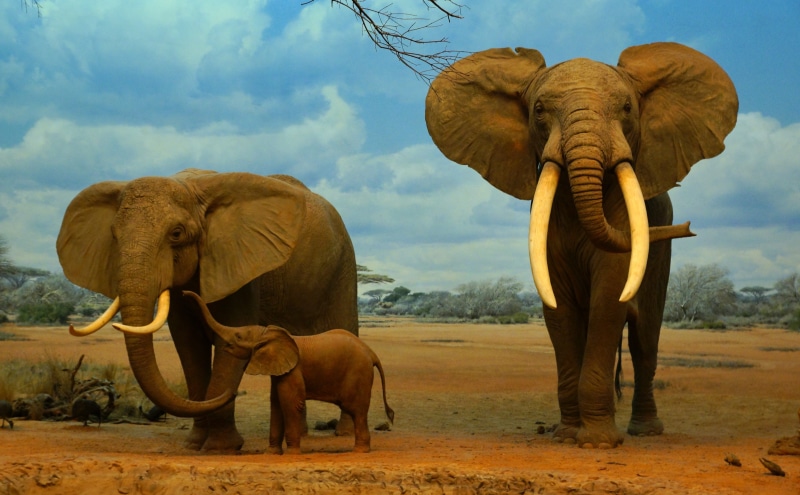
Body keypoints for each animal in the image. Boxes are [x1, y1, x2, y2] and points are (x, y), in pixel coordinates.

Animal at [56, 169, 358, 450]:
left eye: (176, 234)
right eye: (113, 236)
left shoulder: (240, 266)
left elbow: (230, 339)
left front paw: (221, 447)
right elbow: (189, 346)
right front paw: (194, 444)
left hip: (344, 264)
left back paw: (344, 433)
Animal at [183, 290, 394, 454]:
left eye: (238, 336)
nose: (184, 293)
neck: (269, 334)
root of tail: (371, 352)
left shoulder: (294, 370)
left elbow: (291, 404)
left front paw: (292, 453)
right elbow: (276, 405)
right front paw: (271, 454)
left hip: (358, 373)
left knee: (356, 410)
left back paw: (359, 451)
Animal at [425, 42, 738, 448]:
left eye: (627, 108)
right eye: (539, 110)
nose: (686, 228)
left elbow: (609, 300)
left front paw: (597, 443)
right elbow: (558, 309)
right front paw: (567, 436)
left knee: (645, 341)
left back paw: (645, 431)